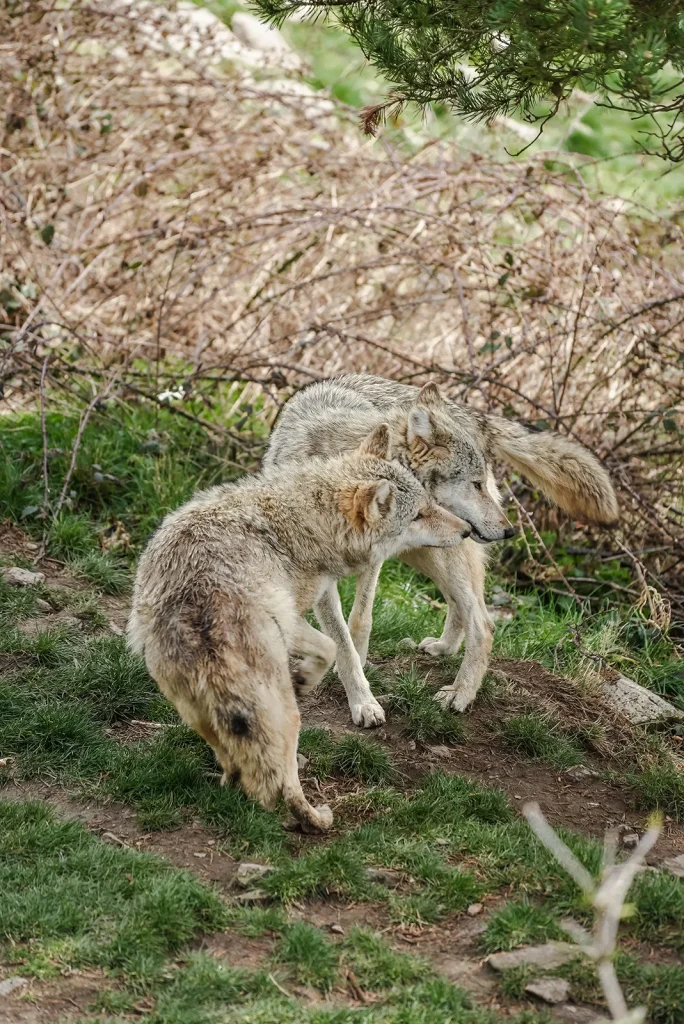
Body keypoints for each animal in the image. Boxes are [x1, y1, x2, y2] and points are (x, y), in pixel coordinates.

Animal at [129, 424, 471, 831]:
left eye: (429, 504)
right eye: (418, 515)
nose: (467, 530)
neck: (306, 517)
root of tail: (197, 608)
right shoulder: (292, 613)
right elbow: (334, 647)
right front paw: (310, 680)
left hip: (196, 712)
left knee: (241, 763)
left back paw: (231, 782)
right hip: (285, 714)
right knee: (280, 779)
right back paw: (312, 814)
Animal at [265, 374, 618, 725]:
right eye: (474, 484)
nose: (509, 530)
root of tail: (467, 411)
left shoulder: (373, 561)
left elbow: (359, 621)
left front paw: (361, 690)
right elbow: (341, 637)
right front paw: (358, 689)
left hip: (441, 549)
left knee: (483, 622)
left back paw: (460, 693)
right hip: (428, 549)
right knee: (461, 603)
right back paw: (445, 647)